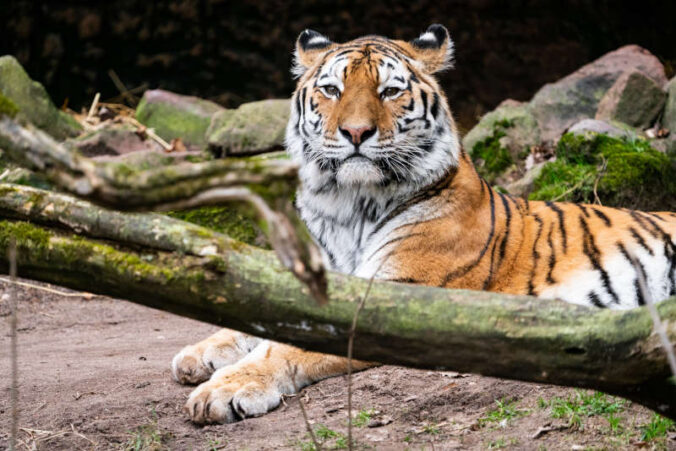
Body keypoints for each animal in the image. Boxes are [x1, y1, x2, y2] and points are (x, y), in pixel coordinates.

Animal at [171, 24, 676, 424]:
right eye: (332, 90)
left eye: (389, 91)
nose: (356, 133)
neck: (348, 205)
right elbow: (249, 323)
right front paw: (196, 355)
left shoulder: (389, 301)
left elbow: (280, 347)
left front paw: (224, 389)